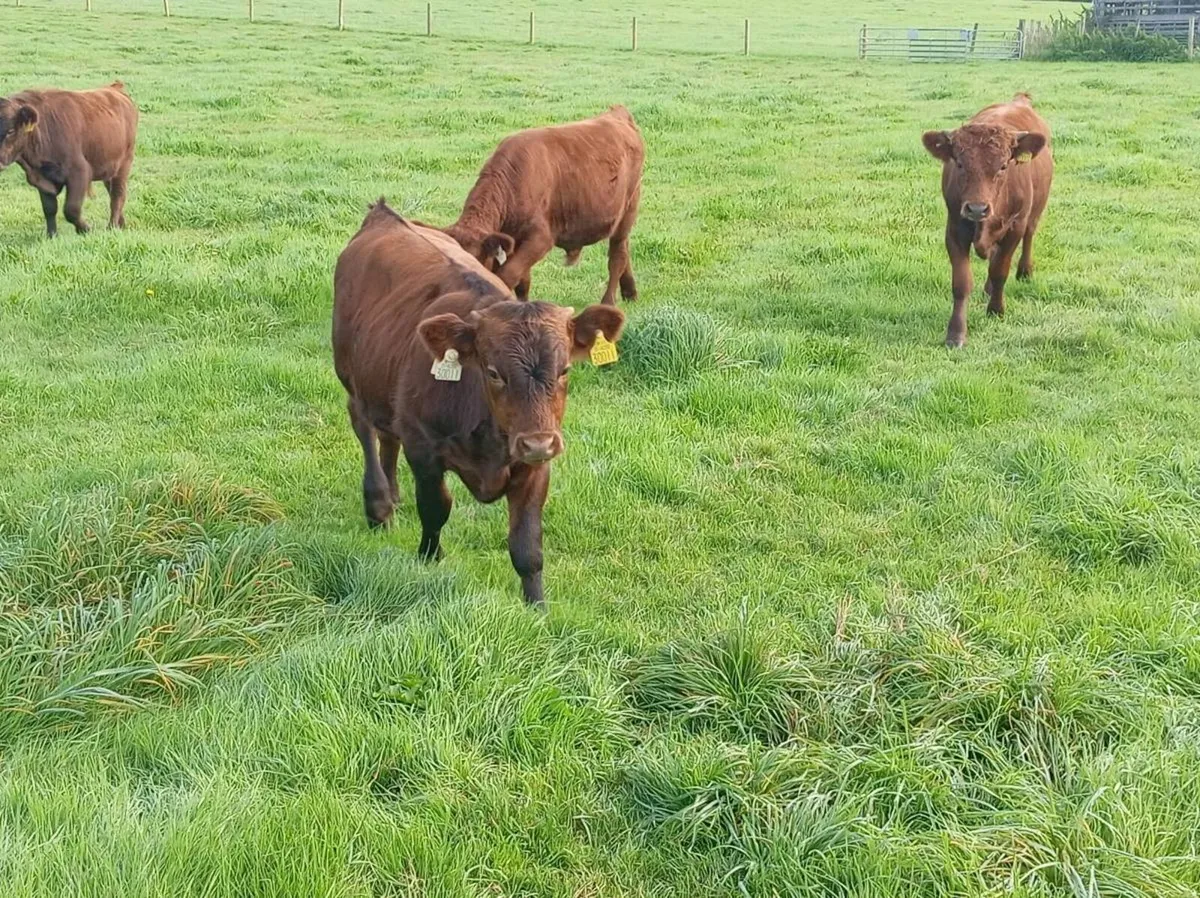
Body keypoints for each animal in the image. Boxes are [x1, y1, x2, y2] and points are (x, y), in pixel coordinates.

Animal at [0, 82, 138, 238]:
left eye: (10, 131)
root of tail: (114, 88)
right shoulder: (42, 179)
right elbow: (49, 209)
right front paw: (52, 235)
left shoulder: (79, 172)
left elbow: (71, 209)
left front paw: (85, 229)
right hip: (109, 168)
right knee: (112, 191)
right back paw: (121, 224)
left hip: (124, 163)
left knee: (117, 195)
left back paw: (112, 226)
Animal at [333, 200, 624, 608]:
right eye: (493, 372)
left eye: (565, 369)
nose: (537, 442)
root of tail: (383, 215)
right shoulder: (423, 449)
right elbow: (436, 509)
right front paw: (428, 559)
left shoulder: (534, 468)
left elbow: (527, 546)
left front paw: (536, 606)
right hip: (352, 380)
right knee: (365, 431)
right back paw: (379, 506)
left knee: (387, 436)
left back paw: (392, 494)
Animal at [434, 105, 644, 306]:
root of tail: (616, 114)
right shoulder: (514, 241)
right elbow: (522, 281)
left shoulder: (540, 238)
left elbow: (508, 275)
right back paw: (630, 293)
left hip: (628, 209)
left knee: (617, 255)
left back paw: (609, 301)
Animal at [922, 92, 1053, 348]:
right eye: (959, 163)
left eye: (1003, 166)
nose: (977, 208)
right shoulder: (955, 228)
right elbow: (961, 282)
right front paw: (956, 334)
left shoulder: (1015, 227)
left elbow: (1000, 270)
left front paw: (996, 310)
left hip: (1034, 213)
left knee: (1029, 236)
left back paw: (1024, 271)